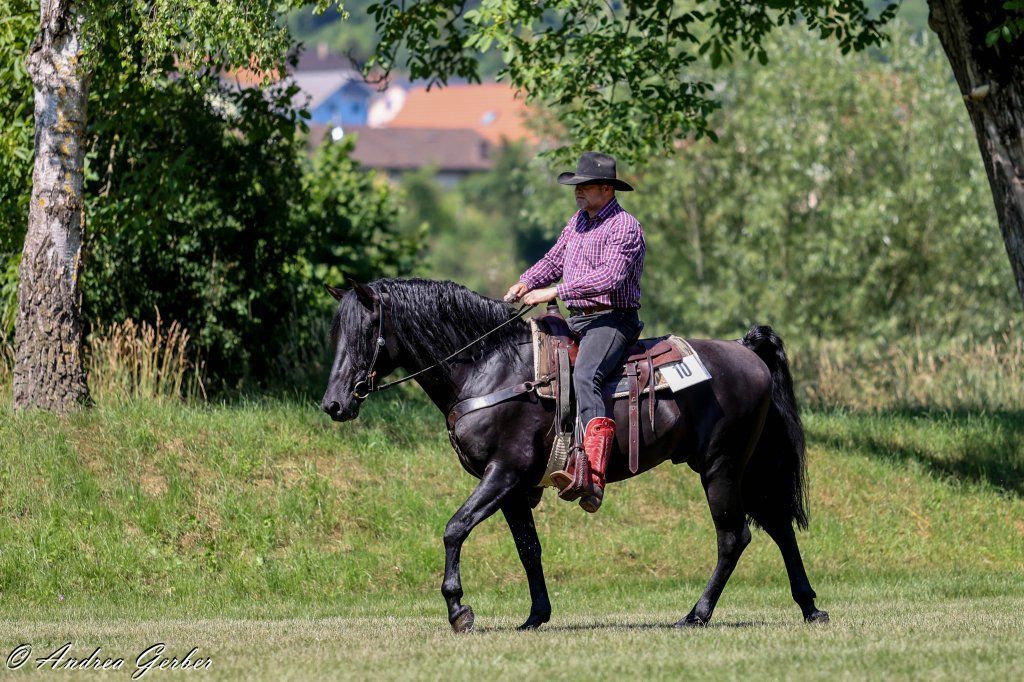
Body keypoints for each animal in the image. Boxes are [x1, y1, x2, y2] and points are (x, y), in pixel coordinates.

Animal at [321, 277, 828, 632]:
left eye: (365, 331)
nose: (334, 404)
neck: (490, 368)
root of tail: (748, 353)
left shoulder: (502, 473)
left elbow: (455, 528)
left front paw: (458, 609)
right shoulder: (514, 488)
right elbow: (529, 549)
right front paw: (535, 616)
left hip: (721, 467)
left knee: (733, 537)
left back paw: (696, 614)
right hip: (749, 467)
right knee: (779, 526)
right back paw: (810, 607)